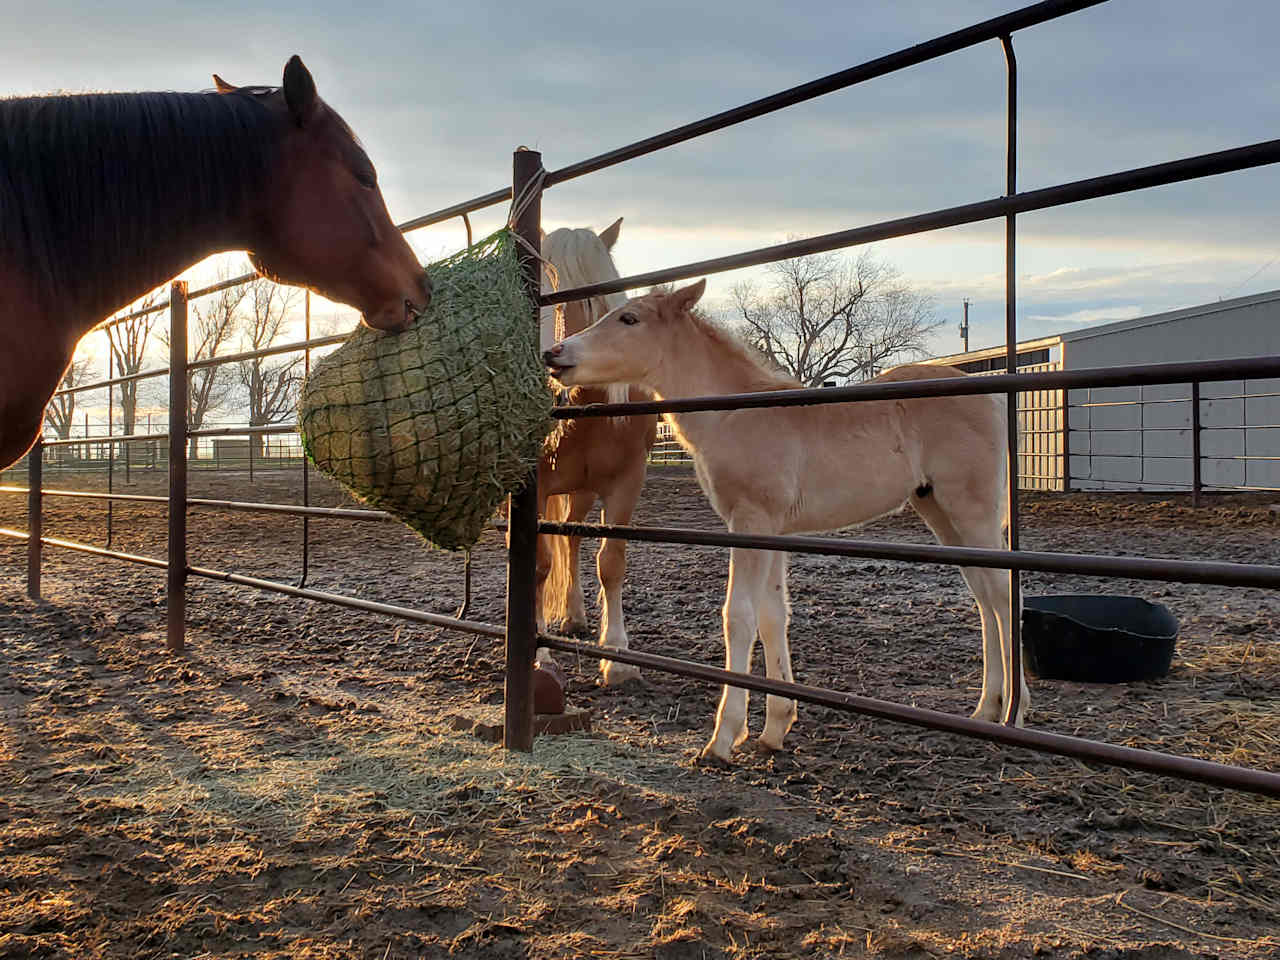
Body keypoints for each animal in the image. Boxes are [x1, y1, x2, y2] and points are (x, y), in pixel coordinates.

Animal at [537, 220, 660, 686]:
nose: (550, 364)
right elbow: (536, 566)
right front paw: (541, 657)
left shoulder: (627, 483)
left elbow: (611, 562)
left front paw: (617, 655)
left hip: (584, 490)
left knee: (570, 538)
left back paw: (573, 617)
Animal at [545, 281, 1013, 762]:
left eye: (630, 319)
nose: (554, 354)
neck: (737, 414)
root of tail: (992, 397)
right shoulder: (772, 531)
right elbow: (772, 616)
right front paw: (775, 727)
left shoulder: (750, 521)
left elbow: (738, 616)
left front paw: (722, 738)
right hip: (938, 510)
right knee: (983, 594)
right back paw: (986, 709)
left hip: (971, 509)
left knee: (1001, 592)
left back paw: (1010, 709)